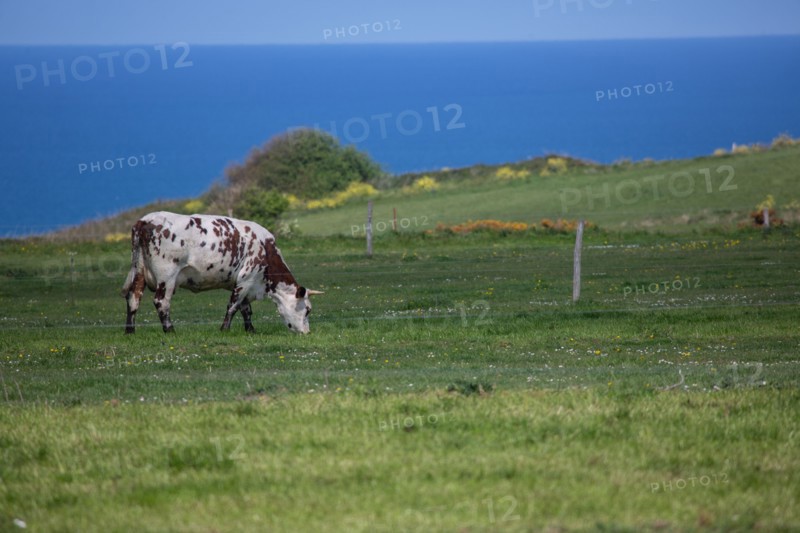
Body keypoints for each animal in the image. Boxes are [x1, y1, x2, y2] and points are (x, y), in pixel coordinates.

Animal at [121, 211, 321, 334]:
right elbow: (233, 306)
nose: (307, 332)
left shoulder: (240, 282)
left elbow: (245, 309)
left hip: (139, 270)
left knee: (133, 297)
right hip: (167, 276)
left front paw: (251, 330)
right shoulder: (247, 278)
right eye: (308, 309)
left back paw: (130, 330)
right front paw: (224, 329)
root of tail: (144, 221)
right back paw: (170, 330)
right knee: (161, 301)